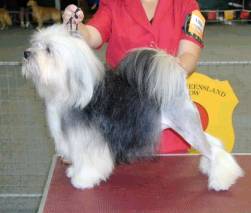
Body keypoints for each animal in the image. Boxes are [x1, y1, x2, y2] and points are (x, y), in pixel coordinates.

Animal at [22, 24, 243, 190]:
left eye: (48, 49)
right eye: (36, 43)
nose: (26, 53)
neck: (69, 89)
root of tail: (177, 79)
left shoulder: (89, 140)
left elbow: (89, 162)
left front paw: (82, 180)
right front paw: (73, 172)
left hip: (186, 125)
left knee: (212, 149)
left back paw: (222, 180)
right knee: (213, 144)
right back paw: (210, 168)